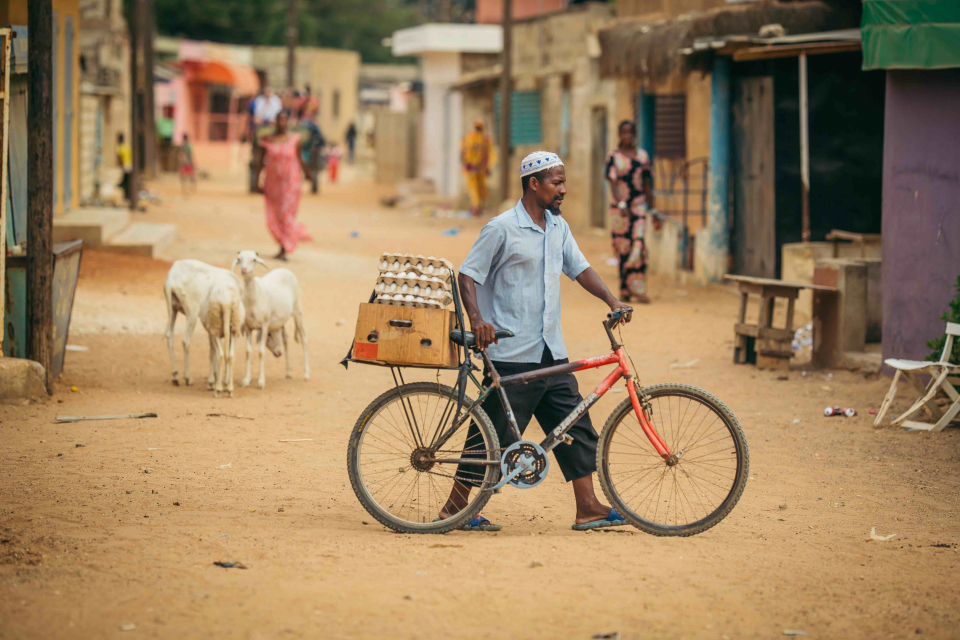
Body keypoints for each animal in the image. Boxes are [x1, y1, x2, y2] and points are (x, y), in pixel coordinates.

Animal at [197, 268, 244, 398]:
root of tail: (226, 302)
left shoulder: (210, 333)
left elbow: (212, 353)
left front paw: (211, 382)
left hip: (215, 327)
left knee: (221, 355)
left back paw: (218, 389)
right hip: (234, 327)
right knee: (231, 355)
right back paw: (229, 389)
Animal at [232, 250, 310, 390]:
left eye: (254, 259)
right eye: (239, 259)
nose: (244, 270)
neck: (254, 296)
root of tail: (284, 269)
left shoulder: (264, 326)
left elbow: (261, 352)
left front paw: (261, 382)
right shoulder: (248, 327)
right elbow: (248, 352)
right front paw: (246, 380)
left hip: (298, 310)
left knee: (304, 338)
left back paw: (306, 374)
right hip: (281, 320)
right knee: (285, 338)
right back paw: (288, 372)